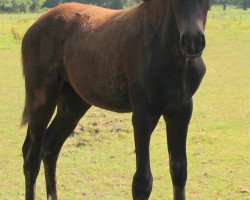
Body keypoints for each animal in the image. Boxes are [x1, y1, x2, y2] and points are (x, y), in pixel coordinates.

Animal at [21, 0, 209, 199]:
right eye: (174, 3)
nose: (193, 42)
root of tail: (35, 26)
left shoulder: (181, 111)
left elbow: (179, 171)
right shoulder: (143, 114)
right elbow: (142, 182)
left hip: (73, 105)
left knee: (50, 149)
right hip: (41, 99)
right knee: (32, 158)